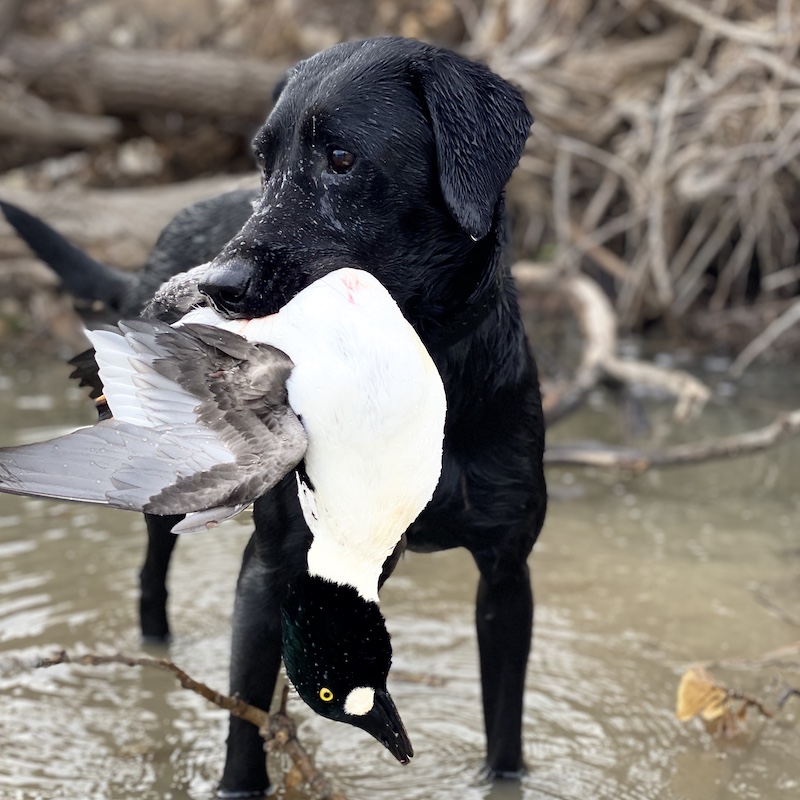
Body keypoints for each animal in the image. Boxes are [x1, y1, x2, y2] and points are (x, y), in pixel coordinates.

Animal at [3, 36, 548, 792]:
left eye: (342, 158)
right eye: (263, 160)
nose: (217, 288)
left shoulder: (505, 576)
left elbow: (505, 734)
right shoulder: (269, 569)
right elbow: (245, 720)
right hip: (167, 490)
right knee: (150, 579)